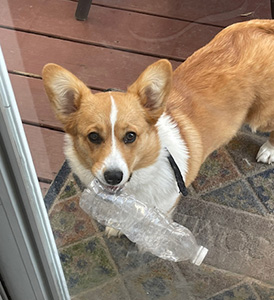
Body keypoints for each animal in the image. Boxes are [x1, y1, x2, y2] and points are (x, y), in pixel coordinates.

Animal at [42, 19, 274, 237]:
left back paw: (269, 151)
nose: (113, 176)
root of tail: (259, 26)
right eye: (93, 136)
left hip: (261, 116)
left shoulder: (165, 206)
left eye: (130, 136)